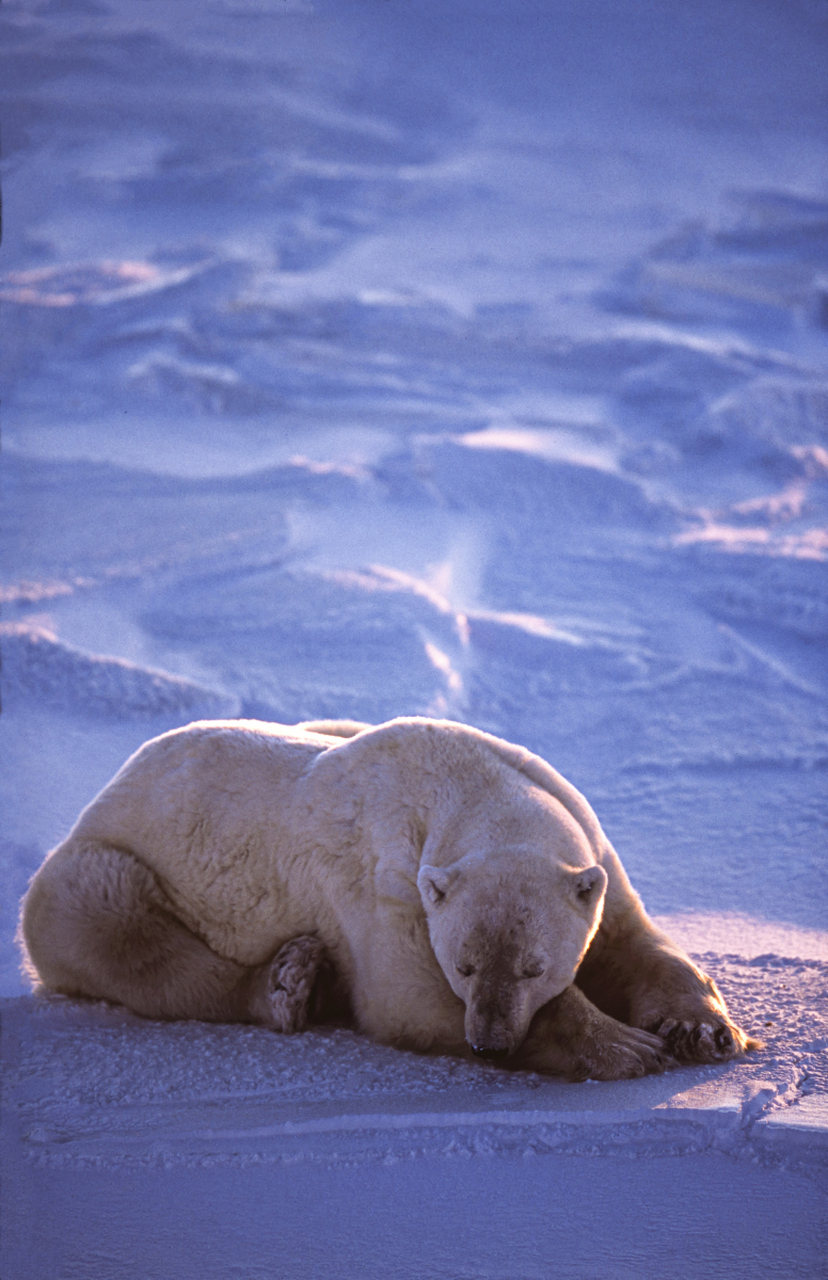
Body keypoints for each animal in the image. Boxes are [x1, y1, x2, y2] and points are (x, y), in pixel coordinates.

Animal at [19, 721, 757, 1080]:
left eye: (533, 966)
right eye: (464, 966)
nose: (490, 1044)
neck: (469, 781)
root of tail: (102, 792)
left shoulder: (590, 845)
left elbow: (635, 941)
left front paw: (702, 1030)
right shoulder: (384, 883)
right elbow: (404, 999)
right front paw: (628, 1047)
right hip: (100, 870)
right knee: (126, 937)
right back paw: (288, 984)